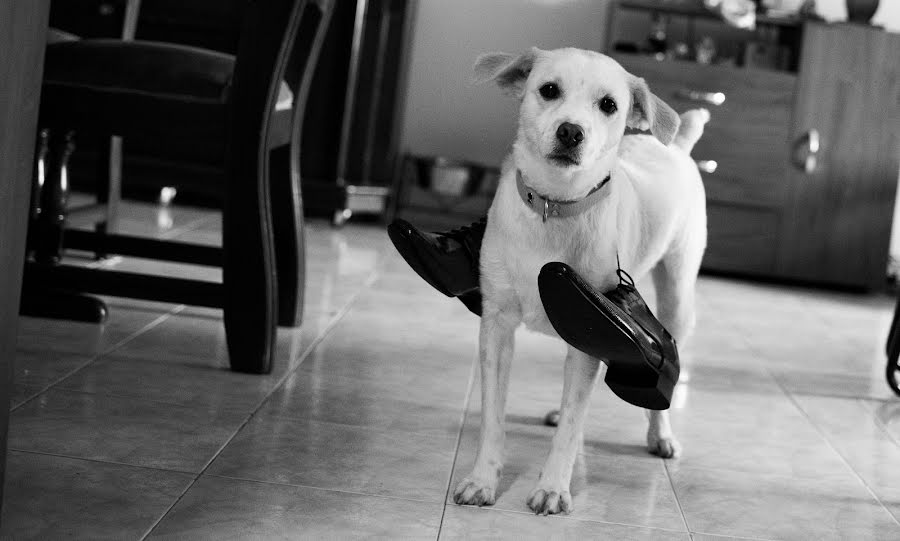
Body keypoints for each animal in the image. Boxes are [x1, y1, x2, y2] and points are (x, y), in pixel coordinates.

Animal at [458, 47, 712, 516]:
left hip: (676, 297)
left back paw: (661, 435)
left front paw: (553, 487)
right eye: (548, 90)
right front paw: (482, 479)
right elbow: (493, 417)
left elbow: (573, 420)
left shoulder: (590, 331)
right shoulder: (497, 328)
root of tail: (675, 146)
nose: (571, 131)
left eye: (609, 105)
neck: (554, 207)